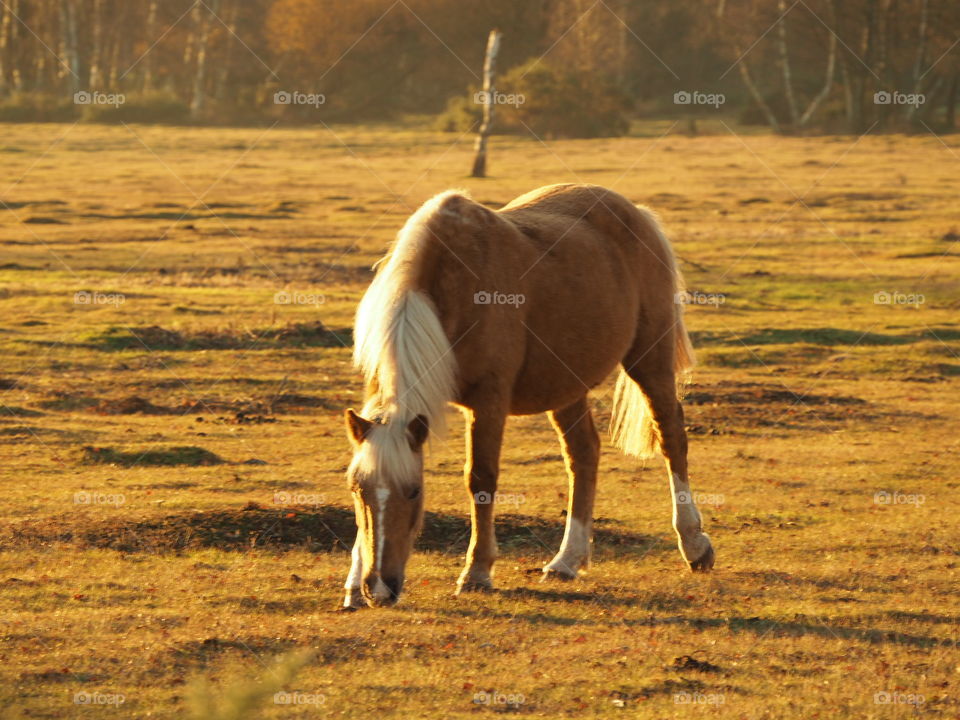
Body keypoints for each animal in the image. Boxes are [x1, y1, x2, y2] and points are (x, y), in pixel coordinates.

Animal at [342, 183, 714, 609]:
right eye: (357, 490)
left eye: (414, 491)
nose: (378, 589)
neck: (450, 284)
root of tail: (634, 212)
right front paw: (352, 585)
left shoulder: (489, 400)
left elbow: (480, 478)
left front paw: (477, 571)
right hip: (566, 384)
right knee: (583, 454)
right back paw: (567, 560)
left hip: (649, 359)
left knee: (671, 436)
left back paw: (694, 544)